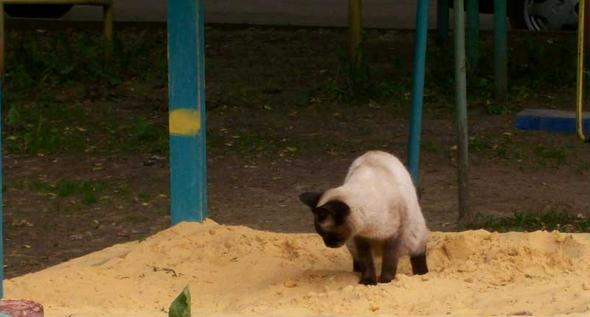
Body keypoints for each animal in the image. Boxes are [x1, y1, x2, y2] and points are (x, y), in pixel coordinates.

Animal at [300, 150, 430, 284]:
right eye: (321, 235)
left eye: (326, 234)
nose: (328, 245)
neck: (370, 229)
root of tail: (376, 151)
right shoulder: (360, 239)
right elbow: (366, 263)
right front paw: (368, 282)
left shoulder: (393, 237)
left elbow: (389, 262)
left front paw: (385, 281)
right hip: (352, 246)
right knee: (357, 263)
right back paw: (356, 273)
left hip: (414, 239)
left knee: (418, 257)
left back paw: (422, 275)